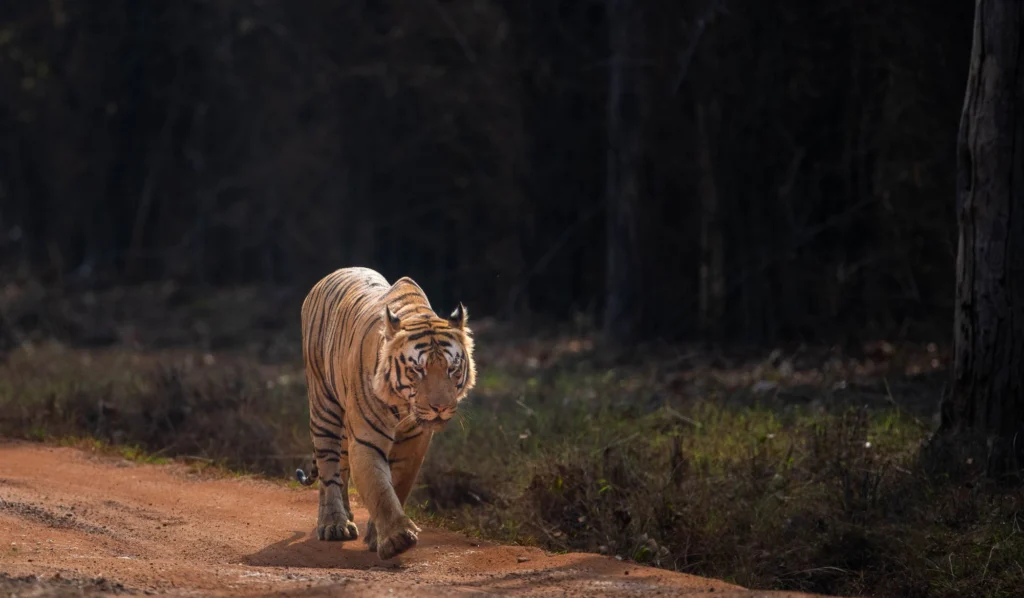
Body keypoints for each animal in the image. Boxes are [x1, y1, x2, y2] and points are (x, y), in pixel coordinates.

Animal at [294, 267, 476, 560]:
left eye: (452, 369)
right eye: (418, 370)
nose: (440, 407)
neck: (403, 406)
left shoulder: (414, 441)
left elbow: (397, 484)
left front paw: (375, 536)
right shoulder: (366, 438)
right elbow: (379, 487)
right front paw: (397, 538)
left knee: (340, 467)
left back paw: (346, 516)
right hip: (324, 408)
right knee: (328, 469)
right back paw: (334, 524)